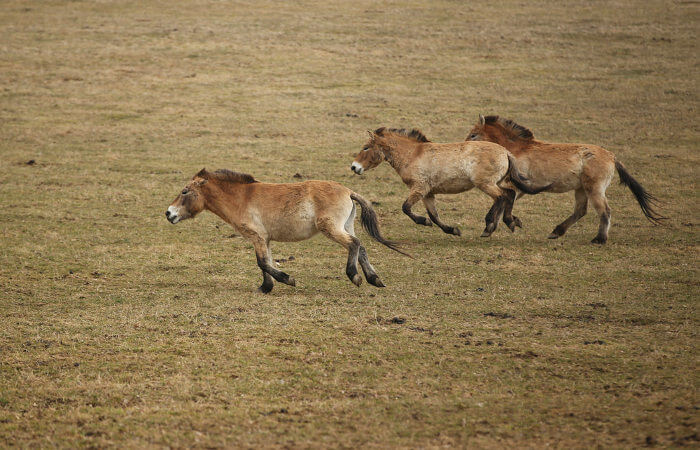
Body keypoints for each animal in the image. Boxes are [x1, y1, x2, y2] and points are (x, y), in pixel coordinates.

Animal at [350, 126, 552, 237]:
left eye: (366, 147)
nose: (354, 167)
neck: (413, 154)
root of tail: (505, 152)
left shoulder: (419, 189)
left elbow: (406, 208)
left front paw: (423, 221)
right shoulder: (428, 193)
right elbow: (434, 215)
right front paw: (452, 230)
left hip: (486, 184)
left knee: (501, 197)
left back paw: (489, 226)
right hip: (497, 182)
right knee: (509, 194)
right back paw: (510, 222)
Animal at [468, 114, 664, 244]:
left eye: (473, 134)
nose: (466, 145)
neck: (517, 150)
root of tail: (612, 156)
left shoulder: (517, 187)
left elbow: (502, 202)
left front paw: (493, 226)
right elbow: (503, 202)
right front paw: (496, 226)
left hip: (594, 190)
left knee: (604, 211)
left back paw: (599, 239)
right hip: (581, 190)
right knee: (580, 211)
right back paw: (557, 232)